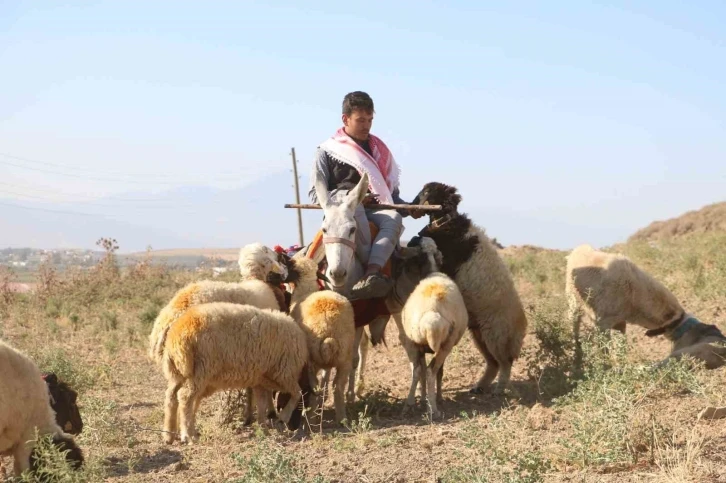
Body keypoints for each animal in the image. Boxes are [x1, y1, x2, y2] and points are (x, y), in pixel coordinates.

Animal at [162, 304, 310, 444]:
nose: (295, 426)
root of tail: (177, 334)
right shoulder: (285, 373)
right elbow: (298, 393)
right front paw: (283, 416)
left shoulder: (260, 379)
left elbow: (262, 404)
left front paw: (263, 428)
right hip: (201, 369)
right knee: (185, 396)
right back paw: (187, 435)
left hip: (179, 373)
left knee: (172, 395)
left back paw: (169, 434)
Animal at [288, 258, 360, 424]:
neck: (305, 289)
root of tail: (329, 333)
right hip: (344, 357)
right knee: (337, 387)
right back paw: (342, 419)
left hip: (311, 359)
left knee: (315, 388)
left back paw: (311, 418)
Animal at [396, 238, 470, 420]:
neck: (431, 270)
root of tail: (431, 316)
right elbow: (439, 372)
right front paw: (437, 398)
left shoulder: (421, 347)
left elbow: (421, 371)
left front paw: (422, 399)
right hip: (446, 345)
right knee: (431, 371)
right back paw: (434, 410)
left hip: (412, 340)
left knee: (417, 371)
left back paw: (409, 405)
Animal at [412, 183, 532, 396]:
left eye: (427, 191)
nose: (411, 206)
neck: (447, 223)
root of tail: (521, 325)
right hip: (480, 334)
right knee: (493, 363)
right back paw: (479, 387)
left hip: (496, 336)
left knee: (505, 363)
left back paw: (499, 389)